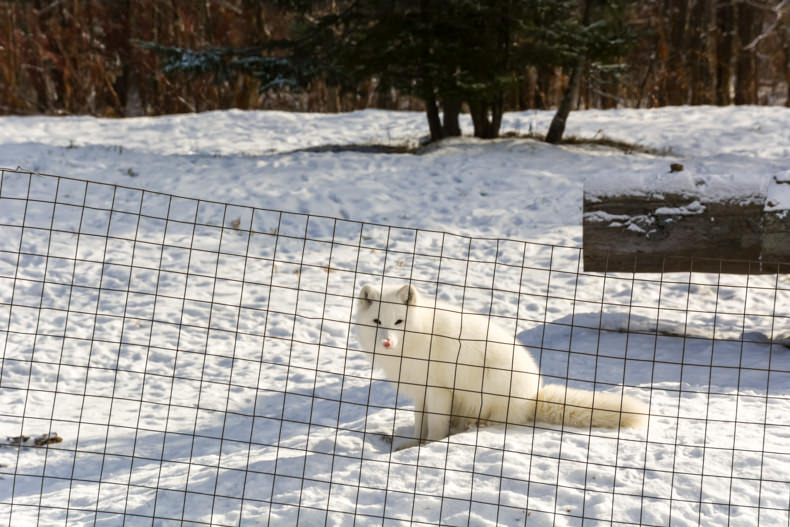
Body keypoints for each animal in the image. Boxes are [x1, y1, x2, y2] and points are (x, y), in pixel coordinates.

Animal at [356, 284, 648, 446]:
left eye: (399, 322)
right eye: (377, 322)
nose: (387, 343)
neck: (417, 337)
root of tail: (531, 397)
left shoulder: (439, 390)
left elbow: (435, 429)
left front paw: (423, 449)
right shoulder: (420, 391)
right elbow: (421, 425)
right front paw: (411, 444)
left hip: (487, 389)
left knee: (492, 421)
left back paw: (475, 427)